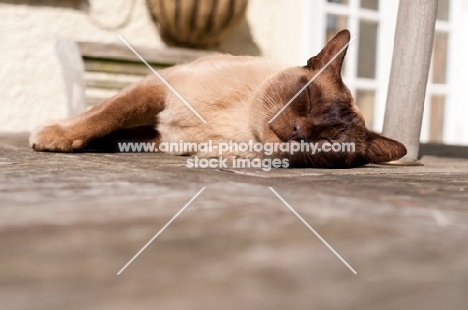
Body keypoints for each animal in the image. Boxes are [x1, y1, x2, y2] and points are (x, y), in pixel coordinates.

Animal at [29, 30, 406, 168]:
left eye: (328, 143)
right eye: (309, 100)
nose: (299, 132)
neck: (237, 126)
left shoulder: (162, 138)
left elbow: (114, 130)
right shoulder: (159, 87)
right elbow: (106, 115)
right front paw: (55, 136)